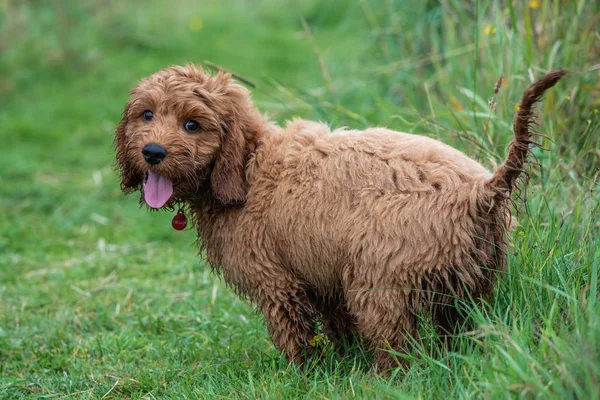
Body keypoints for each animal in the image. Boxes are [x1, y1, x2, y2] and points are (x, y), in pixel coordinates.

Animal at [115, 65, 564, 372]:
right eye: (147, 115)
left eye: (192, 124)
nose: (152, 152)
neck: (248, 167)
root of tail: (481, 189)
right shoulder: (322, 276)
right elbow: (339, 325)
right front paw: (343, 359)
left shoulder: (277, 281)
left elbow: (293, 333)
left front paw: (302, 374)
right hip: (472, 280)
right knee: (461, 329)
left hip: (379, 277)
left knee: (397, 346)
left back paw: (380, 379)